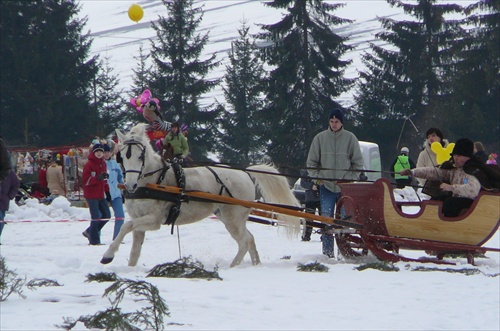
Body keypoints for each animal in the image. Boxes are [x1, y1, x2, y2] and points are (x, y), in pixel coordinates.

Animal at [99, 124, 298, 268]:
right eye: (122, 156)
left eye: (141, 156)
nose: (130, 185)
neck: (153, 181)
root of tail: (244, 173)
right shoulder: (139, 221)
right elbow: (134, 251)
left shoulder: (154, 220)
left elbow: (125, 226)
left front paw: (108, 255)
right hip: (229, 217)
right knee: (250, 239)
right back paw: (255, 264)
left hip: (233, 218)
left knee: (244, 241)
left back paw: (233, 267)